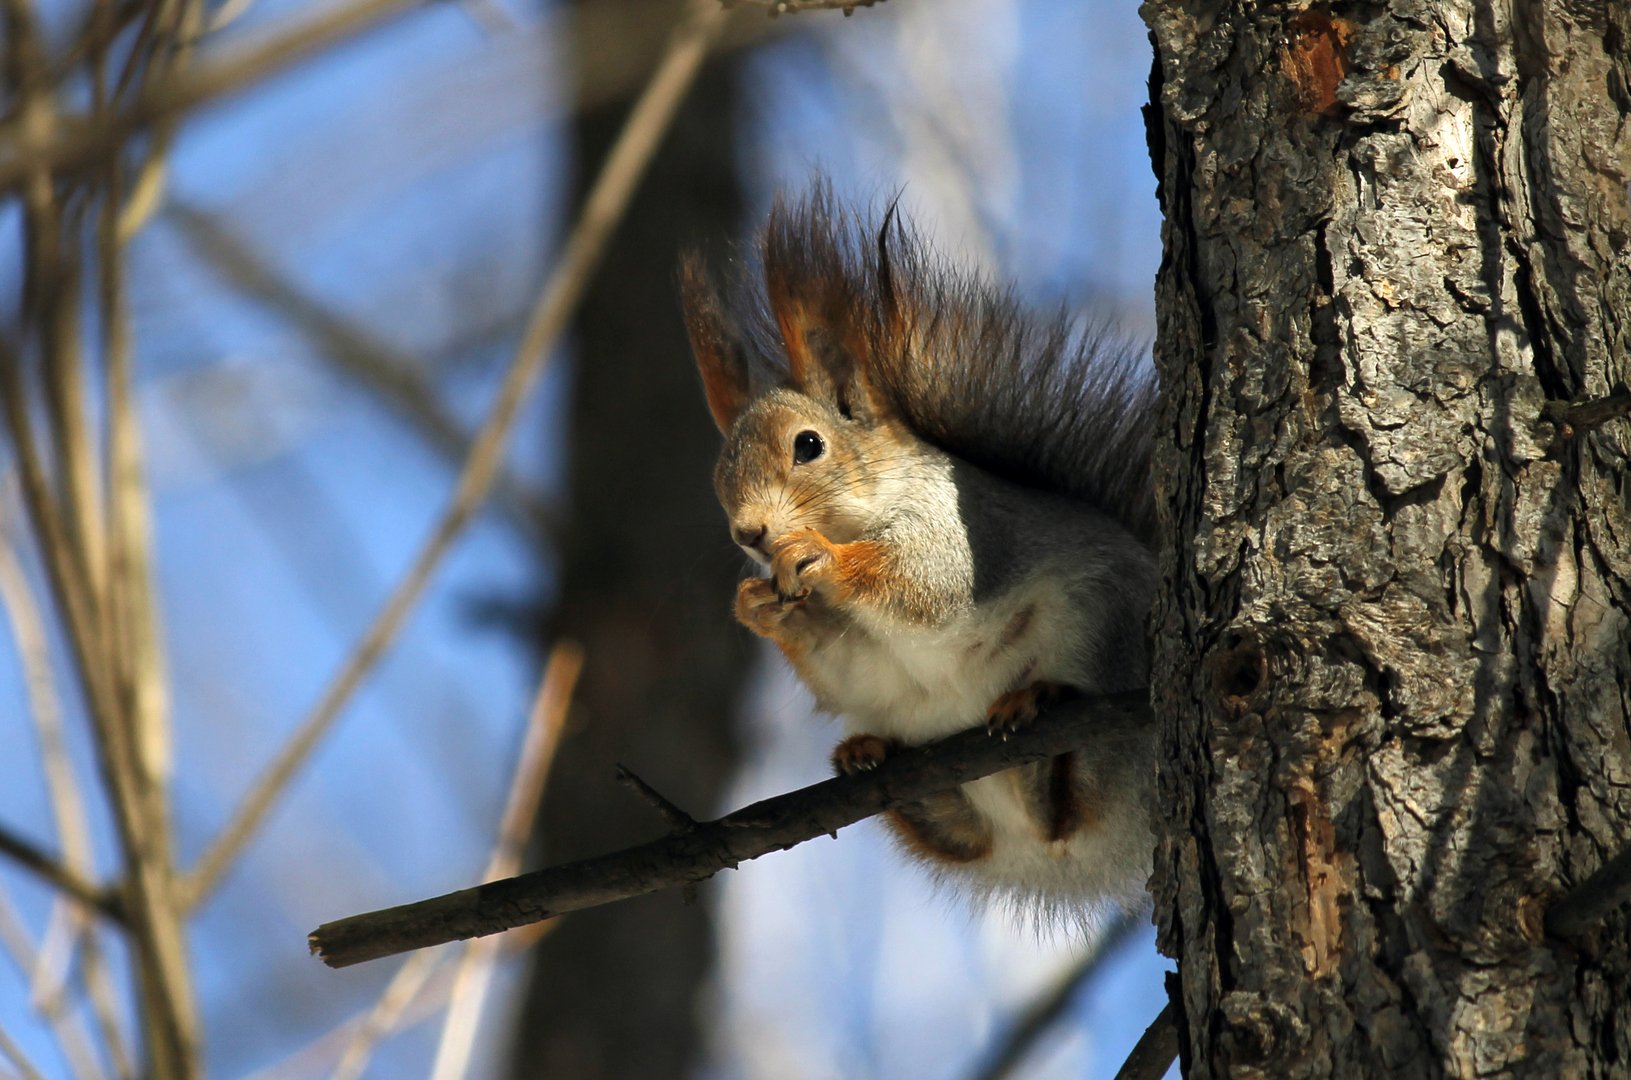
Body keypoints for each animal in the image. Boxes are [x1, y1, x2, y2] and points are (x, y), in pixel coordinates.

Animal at [675, 188, 1161, 920]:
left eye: (808, 445)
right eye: (716, 476)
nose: (749, 533)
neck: (866, 508)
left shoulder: (955, 525)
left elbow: (928, 586)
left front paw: (820, 557)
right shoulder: (854, 645)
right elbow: (840, 658)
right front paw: (760, 605)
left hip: (1107, 637)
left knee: (1076, 803)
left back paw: (1037, 721)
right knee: (979, 835)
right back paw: (882, 762)